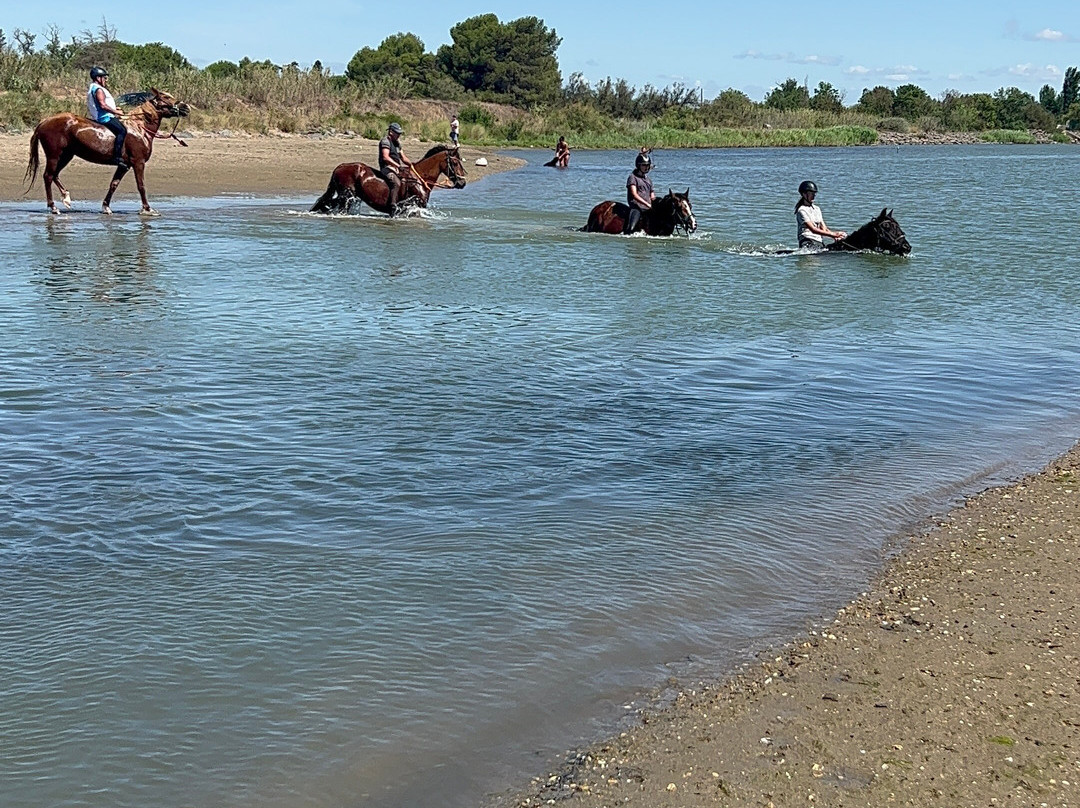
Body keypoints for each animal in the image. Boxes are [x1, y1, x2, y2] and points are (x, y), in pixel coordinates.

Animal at [24, 89, 190, 214]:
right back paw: (53, 207)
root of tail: (44, 122)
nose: (186, 107)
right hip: (54, 155)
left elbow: (113, 184)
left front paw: (106, 207)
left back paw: (66, 198)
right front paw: (147, 209)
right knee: (48, 176)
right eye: (166, 97)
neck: (140, 128)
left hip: (66, 155)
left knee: (55, 175)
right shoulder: (138, 162)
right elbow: (141, 185)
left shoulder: (124, 166)